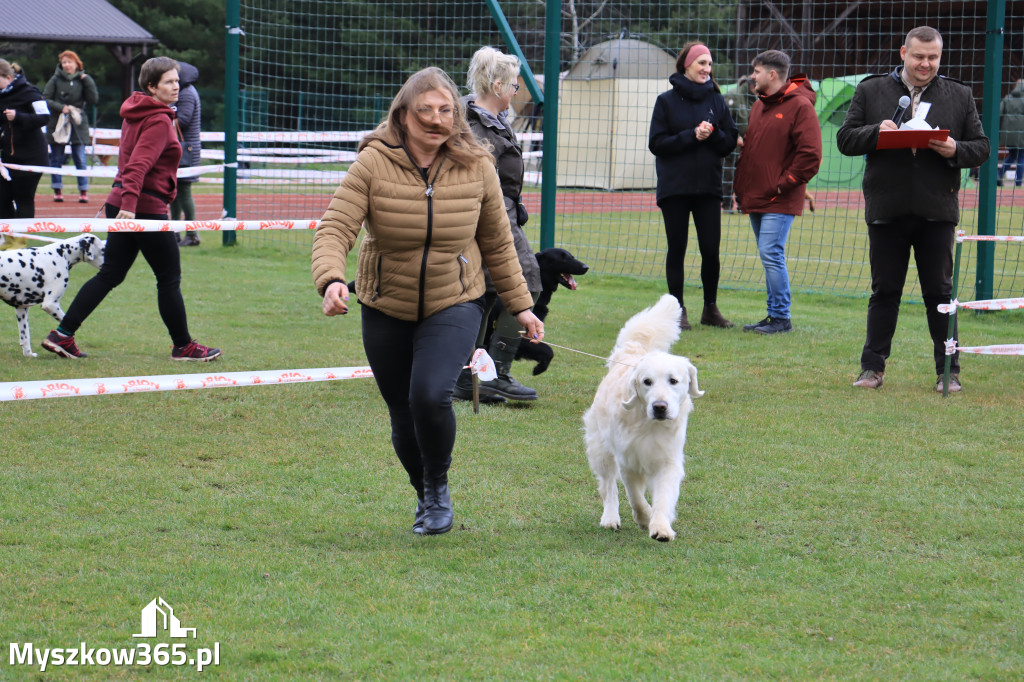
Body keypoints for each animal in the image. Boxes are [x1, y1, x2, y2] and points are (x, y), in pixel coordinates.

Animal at [585, 294, 704, 540]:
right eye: (647, 381)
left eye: (673, 381)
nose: (659, 407)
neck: (649, 425)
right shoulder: (627, 460)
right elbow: (636, 498)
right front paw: (645, 518)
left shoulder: (668, 461)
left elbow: (663, 498)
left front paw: (661, 527)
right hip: (600, 448)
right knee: (608, 486)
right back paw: (610, 518)